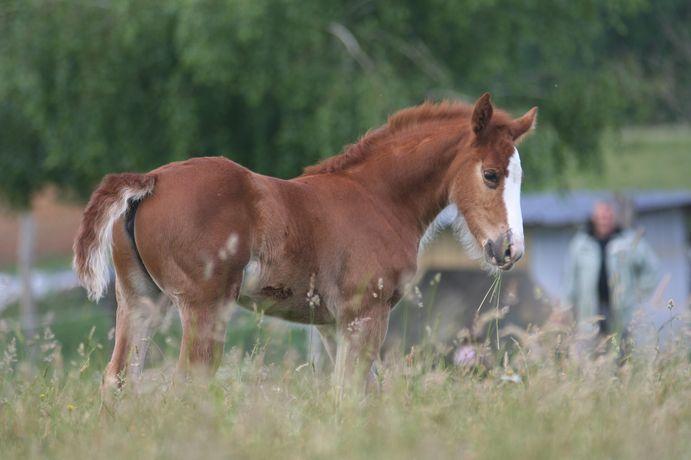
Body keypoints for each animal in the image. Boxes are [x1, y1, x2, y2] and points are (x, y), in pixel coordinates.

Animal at [73, 93, 536, 393]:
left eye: (519, 176)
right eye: (491, 174)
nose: (510, 249)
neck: (378, 197)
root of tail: (151, 180)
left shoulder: (333, 325)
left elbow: (353, 392)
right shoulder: (366, 313)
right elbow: (352, 394)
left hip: (140, 300)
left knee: (118, 379)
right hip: (204, 306)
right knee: (188, 383)